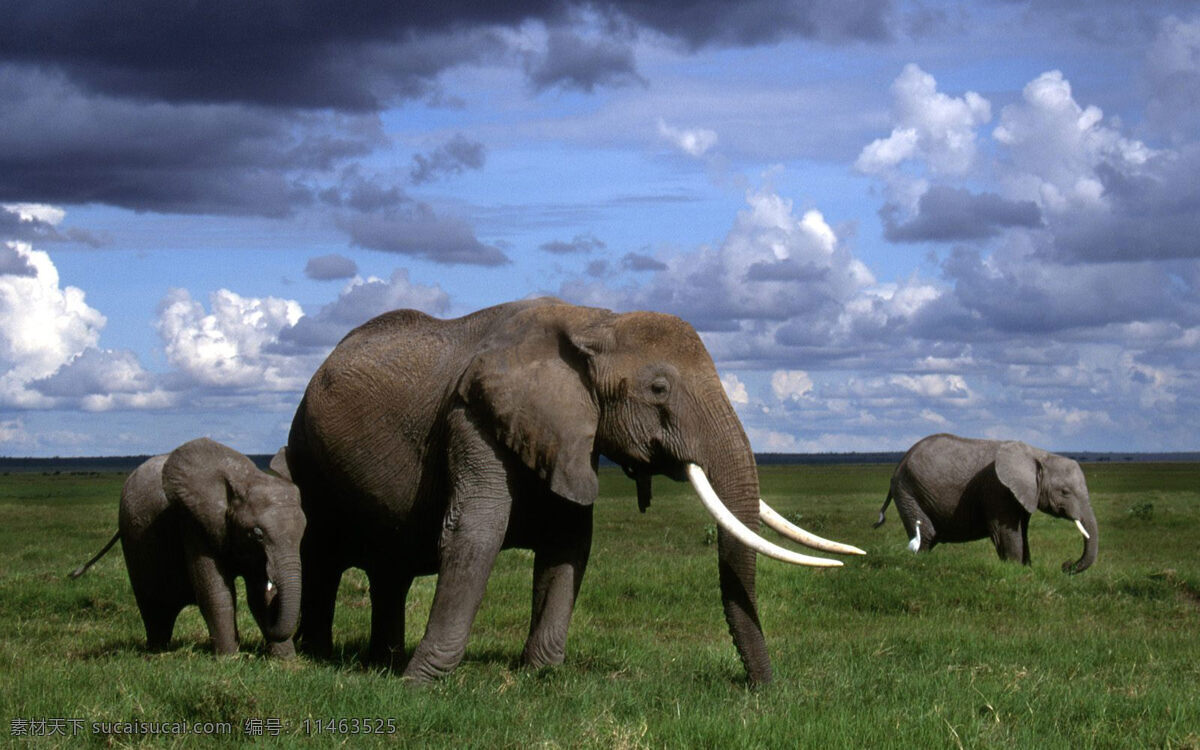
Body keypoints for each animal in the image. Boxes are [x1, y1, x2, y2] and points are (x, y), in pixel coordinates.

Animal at [70, 438, 306, 656]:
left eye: (304, 530)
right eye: (257, 534)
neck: (246, 479)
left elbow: (259, 595)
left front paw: (286, 661)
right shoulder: (194, 521)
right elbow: (216, 592)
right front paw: (229, 659)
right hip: (133, 539)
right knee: (154, 606)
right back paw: (157, 651)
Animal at [285, 297, 862, 685]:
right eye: (658, 389)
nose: (763, 688)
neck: (593, 322)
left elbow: (569, 543)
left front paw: (540, 674)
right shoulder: (473, 416)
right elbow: (475, 532)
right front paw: (421, 684)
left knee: (390, 570)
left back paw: (380, 659)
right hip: (305, 454)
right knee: (322, 555)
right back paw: (317, 656)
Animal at [873, 434, 1097, 574]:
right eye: (1065, 492)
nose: (1065, 565)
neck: (1038, 454)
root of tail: (899, 465)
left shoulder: (1023, 494)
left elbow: (1022, 532)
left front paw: (1027, 569)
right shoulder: (998, 489)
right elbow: (1007, 533)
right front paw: (1015, 571)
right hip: (907, 490)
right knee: (926, 533)